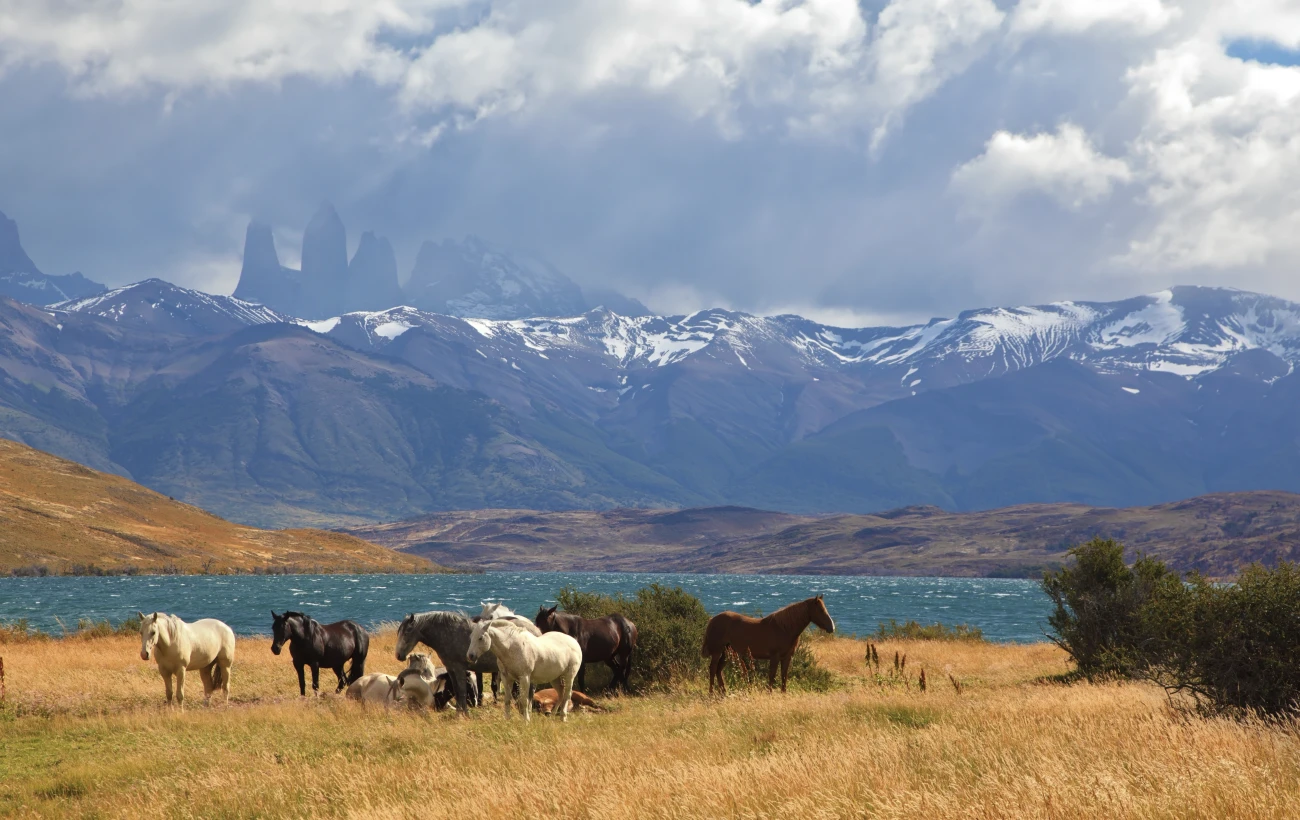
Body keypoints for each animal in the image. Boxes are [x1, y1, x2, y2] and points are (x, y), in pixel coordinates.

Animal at [701, 595, 834, 694]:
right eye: (820, 610)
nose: (832, 627)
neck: (784, 628)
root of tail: (712, 620)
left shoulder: (787, 657)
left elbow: (784, 676)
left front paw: (783, 694)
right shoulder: (774, 657)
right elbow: (772, 676)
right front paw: (770, 693)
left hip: (726, 653)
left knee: (718, 670)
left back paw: (724, 692)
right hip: (717, 652)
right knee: (712, 669)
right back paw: (711, 693)